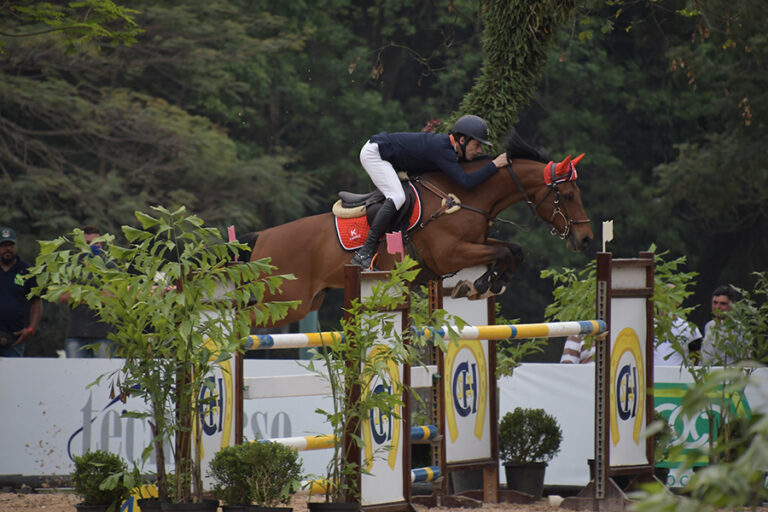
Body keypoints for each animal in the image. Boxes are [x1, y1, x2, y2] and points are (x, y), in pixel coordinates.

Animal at [248, 131, 592, 324]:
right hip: (285, 304)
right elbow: (502, 253)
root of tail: (262, 239)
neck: (465, 196)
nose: (586, 239)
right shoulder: (449, 255)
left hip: (304, 302)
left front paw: (490, 283)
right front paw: (482, 283)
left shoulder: (475, 242)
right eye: (568, 195)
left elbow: (512, 250)